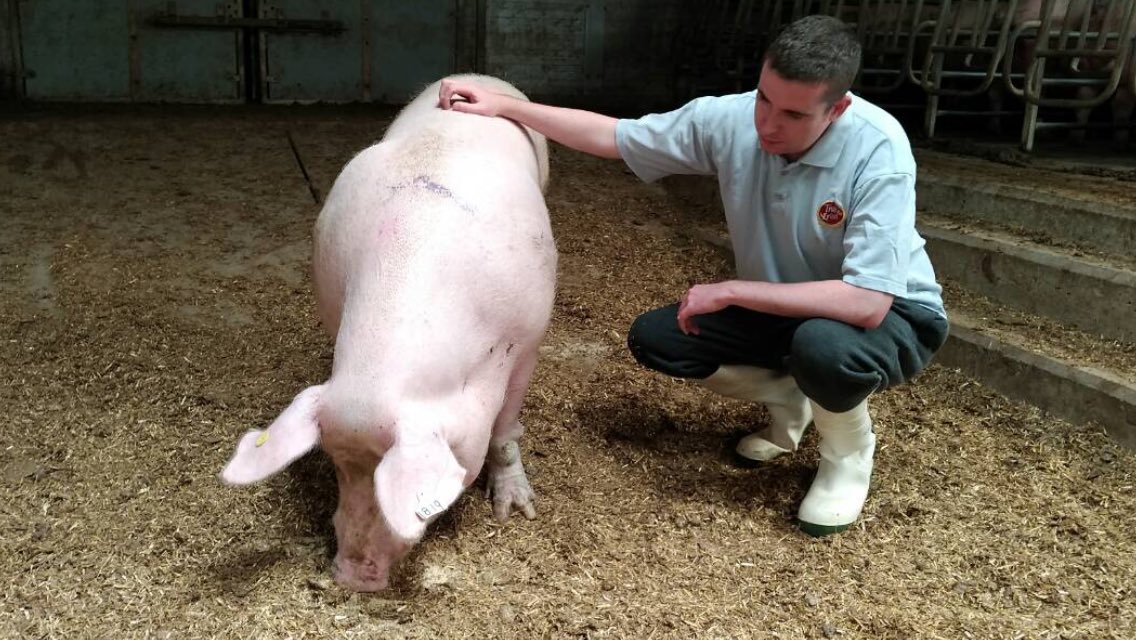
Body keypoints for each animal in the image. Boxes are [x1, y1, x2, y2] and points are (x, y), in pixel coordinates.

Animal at [219, 74, 556, 592]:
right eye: (337, 465)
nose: (352, 573)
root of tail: (478, 77)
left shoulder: (528, 341)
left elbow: (503, 432)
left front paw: (514, 511)